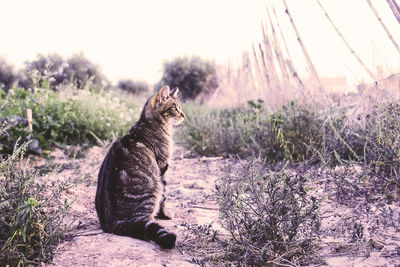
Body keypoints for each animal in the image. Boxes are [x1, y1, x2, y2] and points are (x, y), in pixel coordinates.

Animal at [94, 87, 185, 250]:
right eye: (175, 108)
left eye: (180, 107)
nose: (183, 115)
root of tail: (113, 224)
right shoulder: (162, 167)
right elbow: (164, 197)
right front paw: (165, 215)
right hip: (153, 188)